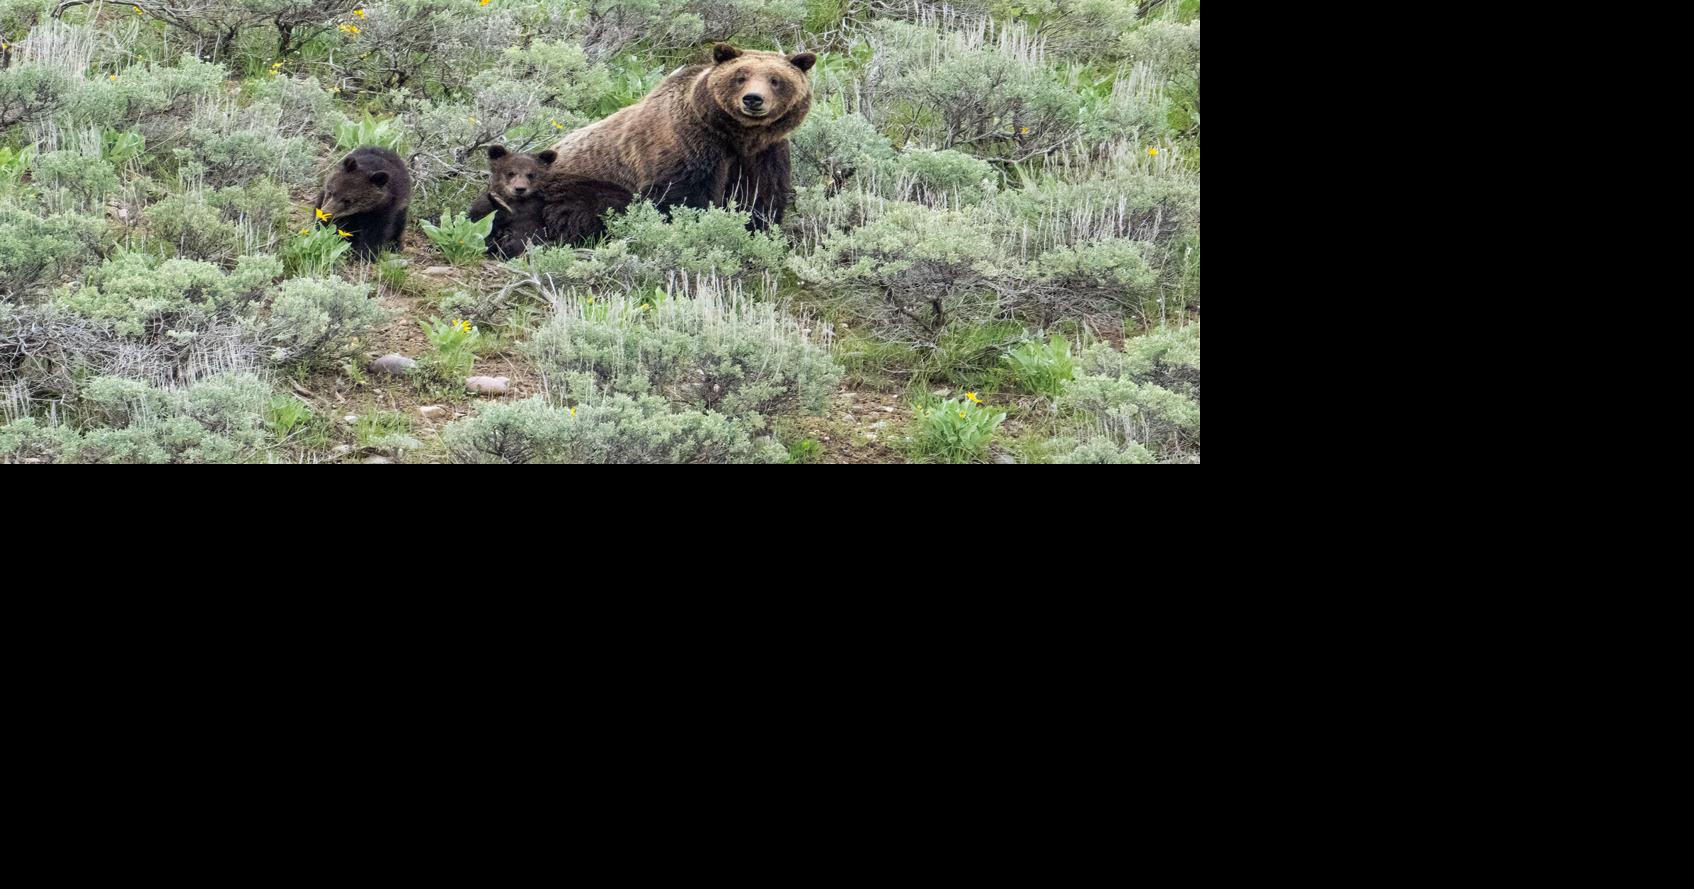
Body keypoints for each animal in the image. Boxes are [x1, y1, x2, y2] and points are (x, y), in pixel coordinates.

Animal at [546, 43, 815, 231]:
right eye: (740, 77)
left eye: (775, 80)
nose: (753, 99)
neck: (738, 136)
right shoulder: (691, 146)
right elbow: (681, 196)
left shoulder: (764, 154)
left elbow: (761, 195)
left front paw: (757, 226)